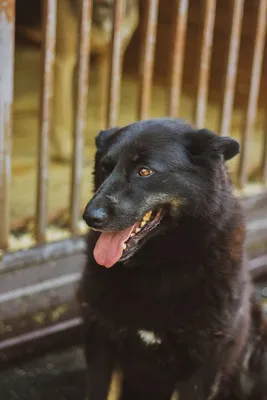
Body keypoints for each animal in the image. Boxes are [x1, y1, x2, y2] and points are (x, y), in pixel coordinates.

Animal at [79, 117, 267, 398]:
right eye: (105, 168)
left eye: (144, 171)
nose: (90, 217)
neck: (158, 267)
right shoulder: (103, 345)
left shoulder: (200, 364)